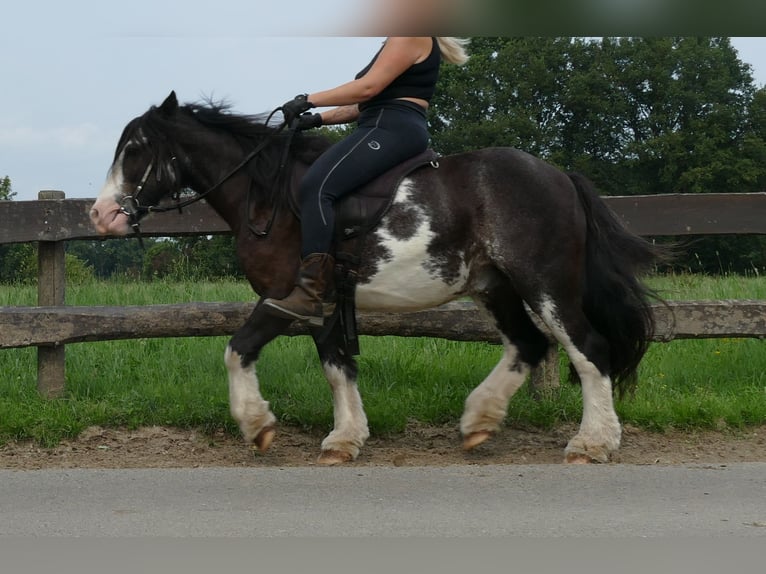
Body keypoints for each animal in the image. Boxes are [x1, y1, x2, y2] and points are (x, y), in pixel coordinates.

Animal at [90, 92, 664, 466]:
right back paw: (479, 421)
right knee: (527, 345)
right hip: (495, 287)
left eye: (135, 150)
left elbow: (238, 350)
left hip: (544, 285)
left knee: (587, 349)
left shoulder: (284, 297)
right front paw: (345, 438)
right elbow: (337, 368)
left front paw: (258, 426)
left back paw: (592, 443)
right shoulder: (321, 301)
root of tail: (559, 175)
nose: (101, 215)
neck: (270, 198)